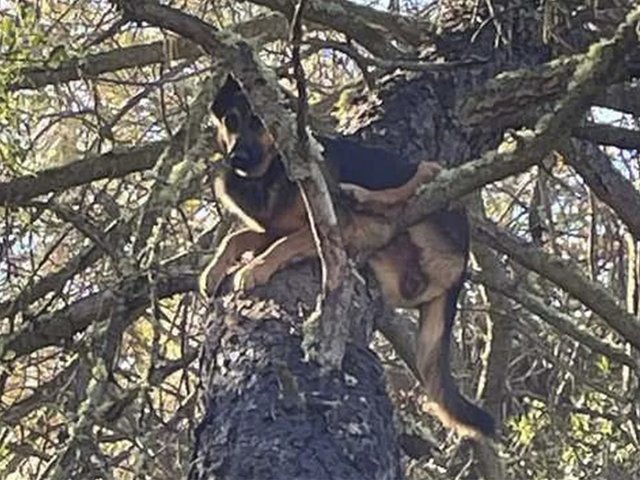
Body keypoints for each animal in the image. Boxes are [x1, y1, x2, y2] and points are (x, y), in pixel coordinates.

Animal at [200, 75, 496, 438]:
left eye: (258, 120)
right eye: (231, 120)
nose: (237, 158)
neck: (268, 172)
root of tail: (462, 264)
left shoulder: (326, 223)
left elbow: (282, 245)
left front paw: (256, 267)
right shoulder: (270, 228)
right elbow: (236, 237)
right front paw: (214, 270)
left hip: (414, 196)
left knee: (423, 174)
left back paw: (361, 194)